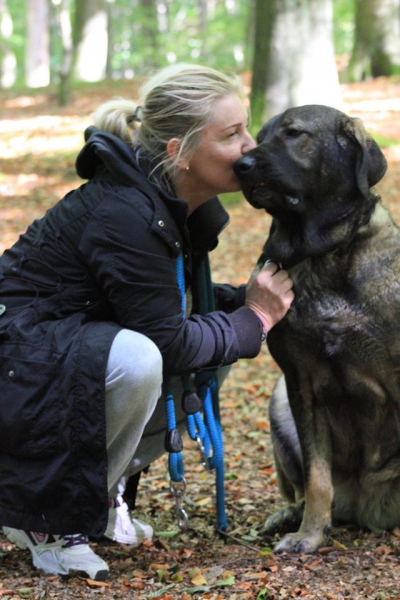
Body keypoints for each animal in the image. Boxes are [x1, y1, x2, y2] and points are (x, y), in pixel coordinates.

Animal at [234, 103, 400, 552]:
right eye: (259, 137)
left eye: (294, 134)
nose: (240, 165)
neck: (324, 256)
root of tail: (365, 507)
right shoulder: (300, 383)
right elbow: (316, 476)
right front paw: (309, 534)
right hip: (278, 401)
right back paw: (292, 514)